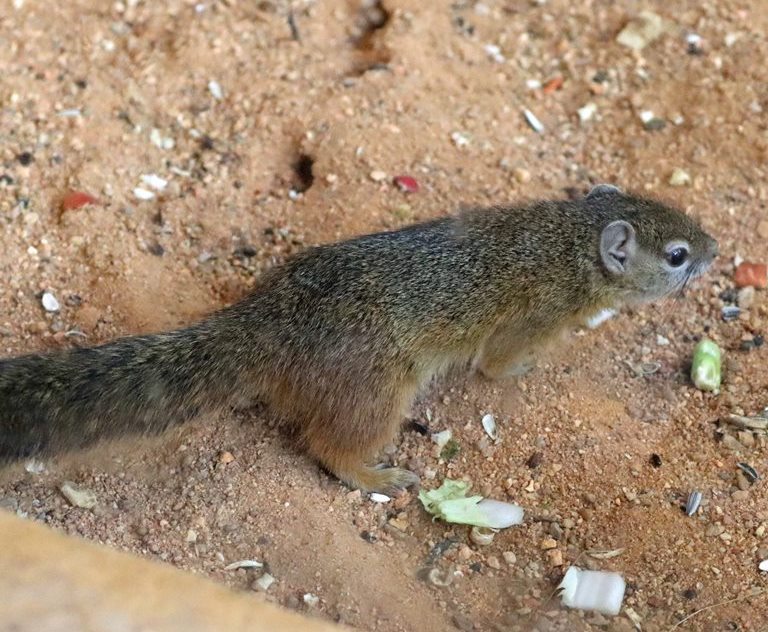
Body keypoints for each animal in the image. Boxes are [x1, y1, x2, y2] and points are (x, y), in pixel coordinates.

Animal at [0, 185, 717, 493]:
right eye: (677, 255)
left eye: (684, 217)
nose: (715, 249)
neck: (566, 239)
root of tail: (265, 320)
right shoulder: (529, 320)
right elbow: (500, 365)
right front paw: (532, 369)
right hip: (378, 393)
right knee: (328, 446)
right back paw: (378, 476)